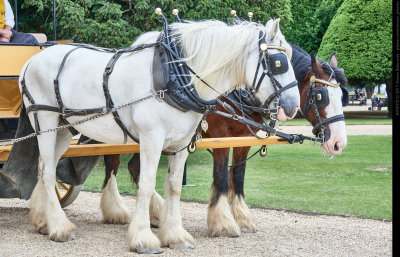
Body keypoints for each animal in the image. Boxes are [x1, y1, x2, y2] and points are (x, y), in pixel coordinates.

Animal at [20, 19, 298, 252]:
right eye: (277, 62)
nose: (293, 106)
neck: (174, 78)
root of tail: (30, 63)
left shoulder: (182, 144)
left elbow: (173, 186)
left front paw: (175, 235)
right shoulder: (152, 140)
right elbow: (146, 183)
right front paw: (143, 239)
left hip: (64, 129)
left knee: (46, 168)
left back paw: (43, 221)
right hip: (45, 122)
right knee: (48, 172)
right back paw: (59, 228)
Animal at [98, 43, 348, 236]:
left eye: (343, 96)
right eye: (320, 96)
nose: (338, 143)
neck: (237, 91)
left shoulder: (243, 140)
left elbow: (237, 176)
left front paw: (242, 218)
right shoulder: (220, 137)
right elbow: (221, 177)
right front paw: (223, 222)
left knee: (134, 166)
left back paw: (156, 213)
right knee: (113, 164)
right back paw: (117, 210)